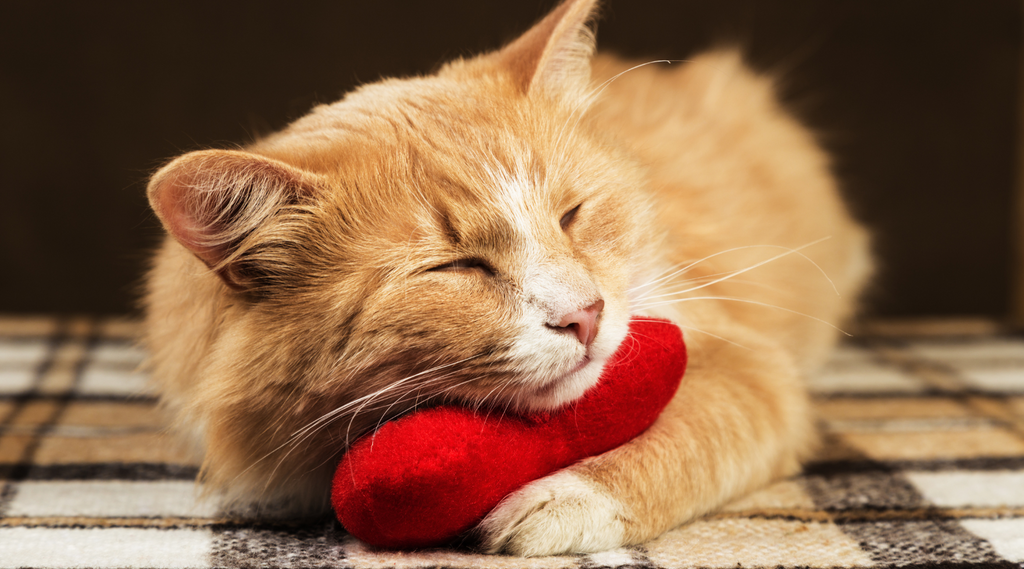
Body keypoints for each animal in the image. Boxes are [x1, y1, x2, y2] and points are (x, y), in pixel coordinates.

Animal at [144, 0, 872, 556]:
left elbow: (683, 429)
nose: (586, 314)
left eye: (571, 215)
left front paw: (566, 499)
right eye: (458, 267)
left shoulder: (750, 366)